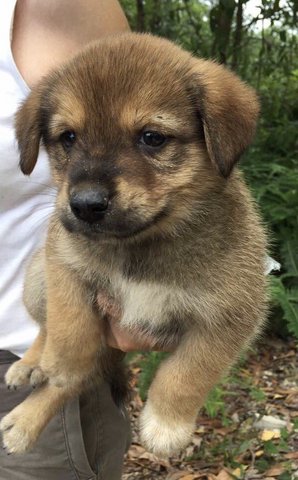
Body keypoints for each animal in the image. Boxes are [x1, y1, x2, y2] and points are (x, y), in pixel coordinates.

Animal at [0, 33, 268, 458]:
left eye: (152, 138)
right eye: (68, 138)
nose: (85, 205)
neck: (140, 246)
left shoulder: (230, 315)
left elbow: (189, 372)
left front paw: (166, 425)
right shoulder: (64, 266)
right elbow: (69, 330)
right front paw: (58, 366)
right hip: (37, 277)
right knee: (45, 328)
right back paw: (31, 369)